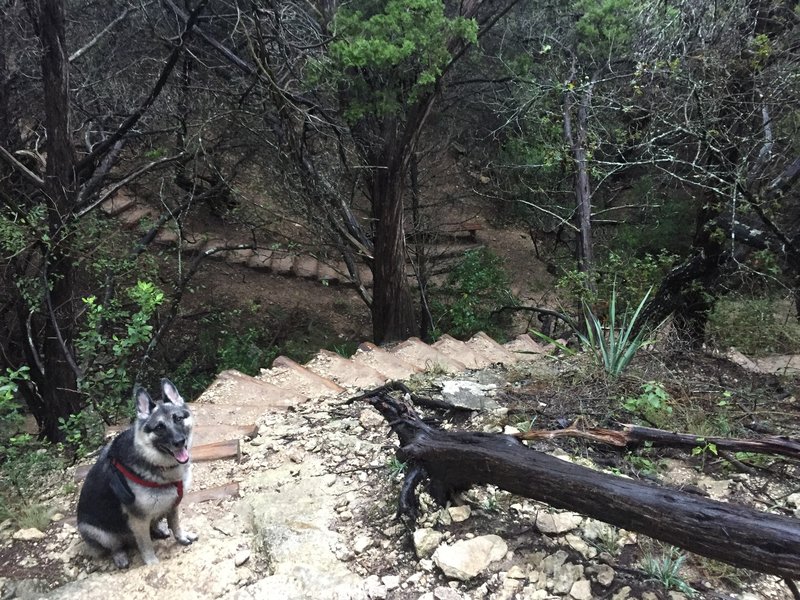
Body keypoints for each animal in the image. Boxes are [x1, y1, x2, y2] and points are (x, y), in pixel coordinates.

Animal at [76, 380, 198, 568]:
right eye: (159, 427)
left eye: (178, 418)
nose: (179, 442)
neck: (152, 459)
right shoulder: (138, 520)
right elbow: (145, 544)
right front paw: (152, 563)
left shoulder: (172, 505)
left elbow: (175, 524)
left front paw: (182, 537)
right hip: (100, 532)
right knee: (115, 546)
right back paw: (120, 556)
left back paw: (160, 529)